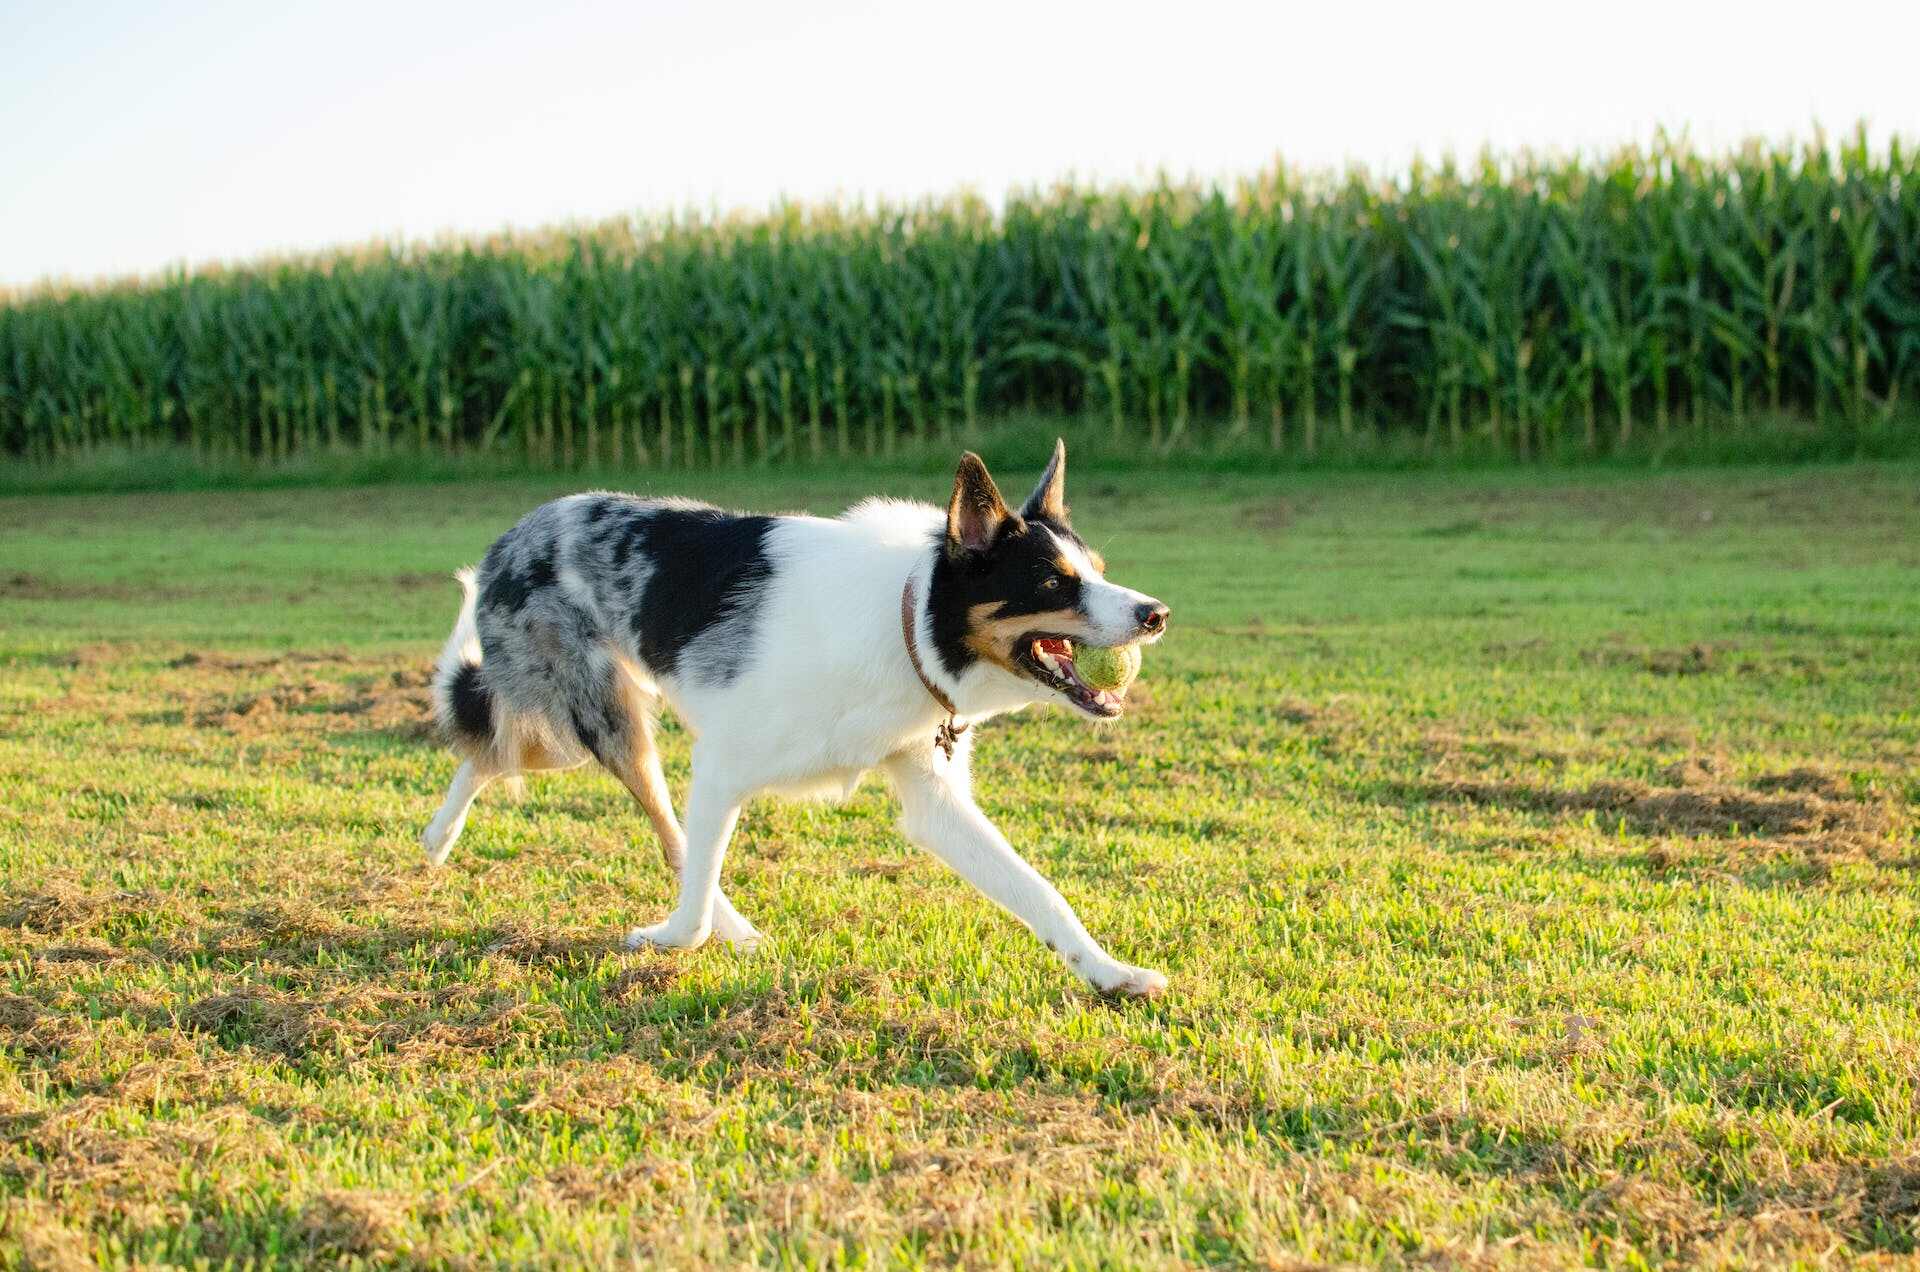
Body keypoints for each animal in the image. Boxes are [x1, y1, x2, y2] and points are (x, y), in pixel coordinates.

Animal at [422, 443, 1167, 999]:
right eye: (1052, 584)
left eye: (1099, 571)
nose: (1156, 613)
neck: (905, 622)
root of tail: (512, 535)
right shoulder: (720, 768)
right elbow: (691, 886)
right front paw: (673, 940)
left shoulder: (935, 801)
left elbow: (1041, 893)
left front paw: (1110, 974)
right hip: (601, 718)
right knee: (550, 771)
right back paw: (442, 835)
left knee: (493, 752)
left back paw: (438, 839)